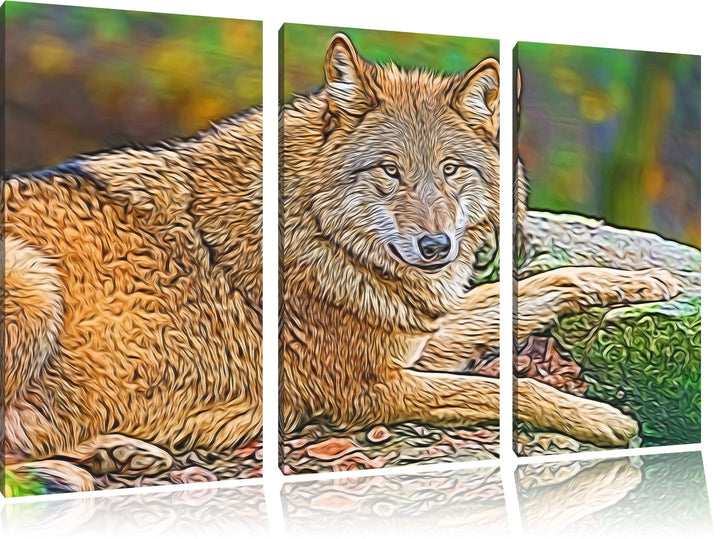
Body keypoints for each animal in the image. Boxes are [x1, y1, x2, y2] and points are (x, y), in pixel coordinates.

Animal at [280, 34, 683, 459]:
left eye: (450, 169)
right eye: (390, 170)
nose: (435, 246)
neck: (323, 233)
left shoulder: (419, 336)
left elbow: (547, 281)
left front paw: (644, 281)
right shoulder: (369, 389)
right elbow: (506, 388)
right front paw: (599, 417)